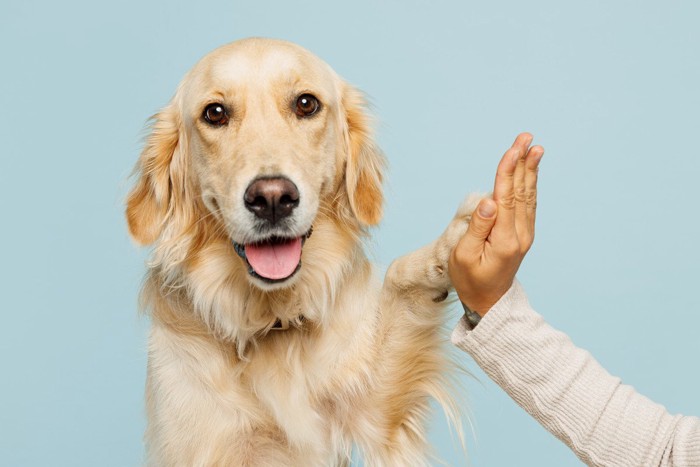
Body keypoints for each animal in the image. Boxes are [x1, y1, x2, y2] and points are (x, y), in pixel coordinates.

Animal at [126, 38, 478, 466]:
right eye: (215, 113)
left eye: (306, 104)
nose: (272, 199)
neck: (271, 321)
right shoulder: (205, 445)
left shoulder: (373, 410)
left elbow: (399, 279)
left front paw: (457, 243)